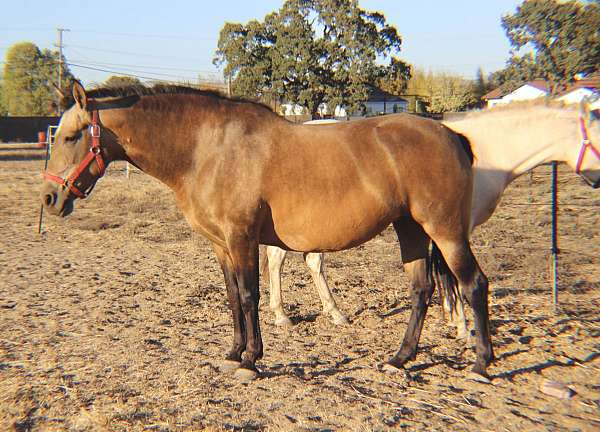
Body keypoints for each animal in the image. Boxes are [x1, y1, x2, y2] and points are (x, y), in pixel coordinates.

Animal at [41, 81, 492, 382]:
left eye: (71, 136)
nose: (49, 198)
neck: (207, 149)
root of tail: (450, 133)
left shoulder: (241, 238)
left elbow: (248, 295)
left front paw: (251, 361)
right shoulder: (221, 245)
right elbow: (231, 298)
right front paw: (233, 352)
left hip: (445, 231)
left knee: (473, 284)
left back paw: (481, 364)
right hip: (411, 228)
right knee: (421, 289)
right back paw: (400, 359)